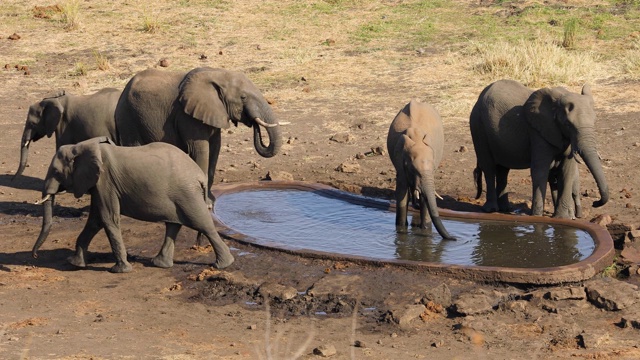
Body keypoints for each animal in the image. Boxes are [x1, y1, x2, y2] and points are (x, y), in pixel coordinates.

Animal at [30, 137, 235, 272]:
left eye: (56, 172)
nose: (35, 257)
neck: (83, 146)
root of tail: (200, 175)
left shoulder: (105, 182)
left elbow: (108, 218)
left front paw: (119, 270)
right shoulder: (99, 186)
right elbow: (96, 220)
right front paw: (74, 263)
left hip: (187, 195)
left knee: (203, 224)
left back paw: (224, 264)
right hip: (180, 195)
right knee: (173, 224)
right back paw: (159, 264)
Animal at [114, 66, 282, 198]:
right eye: (243, 97)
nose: (253, 122)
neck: (218, 74)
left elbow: (215, 148)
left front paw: (211, 201)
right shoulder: (187, 116)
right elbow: (201, 150)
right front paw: (206, 204)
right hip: (128, 117)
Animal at [384, 99, 456, 239]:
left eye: (433, 168)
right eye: (413, 170)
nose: (454, 238)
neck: (416, 139)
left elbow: (425, 196)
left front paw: (425, 229)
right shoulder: (400, 161)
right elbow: (402, 191)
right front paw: (401, 229)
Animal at [468, 79, 608, 218]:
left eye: (594, 121)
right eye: (567, 124)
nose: (595, 203)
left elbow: (567, 171)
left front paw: (561, 218)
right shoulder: (537, 132)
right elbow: (540, 170)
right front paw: (536, 216)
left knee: (503, 170)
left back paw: (505, 209)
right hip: (478, 126)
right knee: (489, 167)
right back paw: (491, 209)